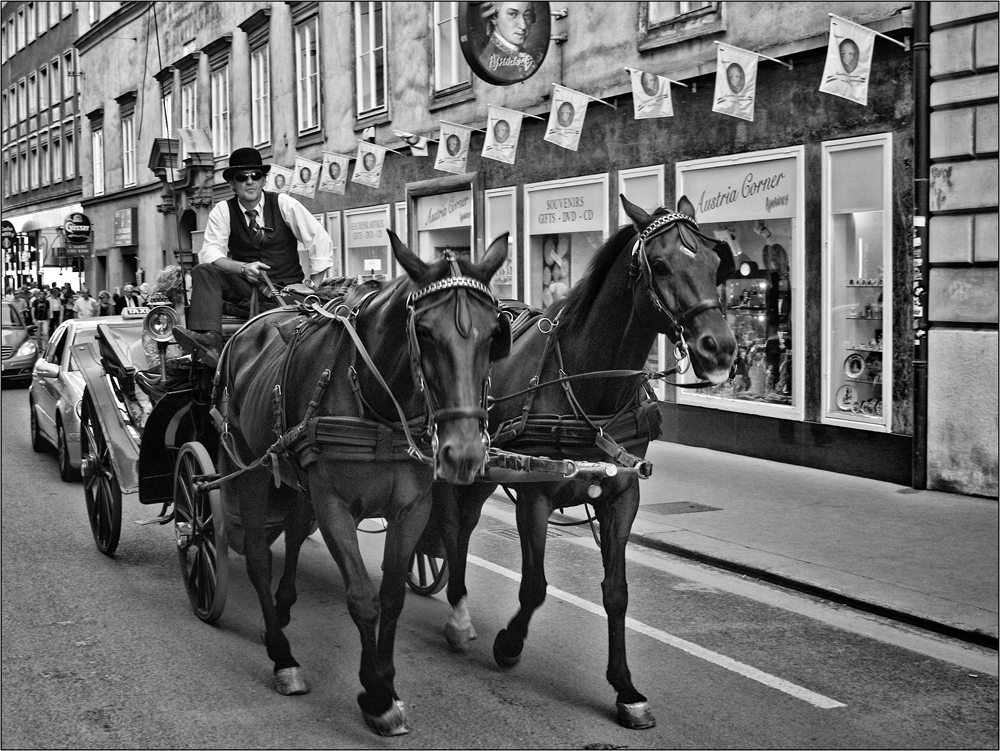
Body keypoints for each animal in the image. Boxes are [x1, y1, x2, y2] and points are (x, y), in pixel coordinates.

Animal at [214, 232, 504, 736]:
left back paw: (282, 610)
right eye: (425, 333)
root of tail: (252, 324)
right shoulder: (335, 506)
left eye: (493, 335)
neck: (376, 400)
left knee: (293, 533)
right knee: (256, 558)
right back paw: (282, 656)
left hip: (294, 479)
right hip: (251, 467)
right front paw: (377, 697)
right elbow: (363, 598)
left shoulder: (412, 508)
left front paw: (386, 682)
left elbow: (392, 597)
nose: (465, 454)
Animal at [426, 197, 740, 732]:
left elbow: (616, 592)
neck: (589, 384)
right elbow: (534, 586)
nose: (719, 348)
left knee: (463, 526)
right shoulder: (534, 495)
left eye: (715, 264)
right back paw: (457, 614)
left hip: (485, 472)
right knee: (451, 527)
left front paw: (626, 690)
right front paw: (509, 644)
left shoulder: (622, 494)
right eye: (659, 265)